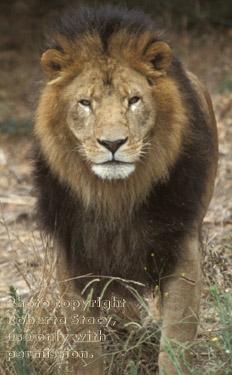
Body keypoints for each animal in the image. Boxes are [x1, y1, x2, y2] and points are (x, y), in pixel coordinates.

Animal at [32, 3, 218, 375]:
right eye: (85, 103)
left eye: (133, 100)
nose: (113, 143)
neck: (115, 198)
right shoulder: (73, 257)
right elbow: (85, 347)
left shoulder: (182, 248)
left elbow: (175, 340)